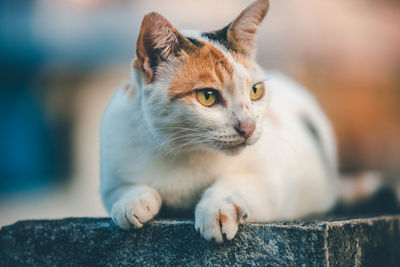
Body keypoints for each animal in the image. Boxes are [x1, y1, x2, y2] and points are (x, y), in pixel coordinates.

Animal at [101, 0, 340, 244]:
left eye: (256, 91)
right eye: (207, 96)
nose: (248, 127)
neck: (185, 152)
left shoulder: (274, 184)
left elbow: (236, 181)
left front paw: (218, 209)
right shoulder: (111, 170)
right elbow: (121, 189)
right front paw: (132, 202)